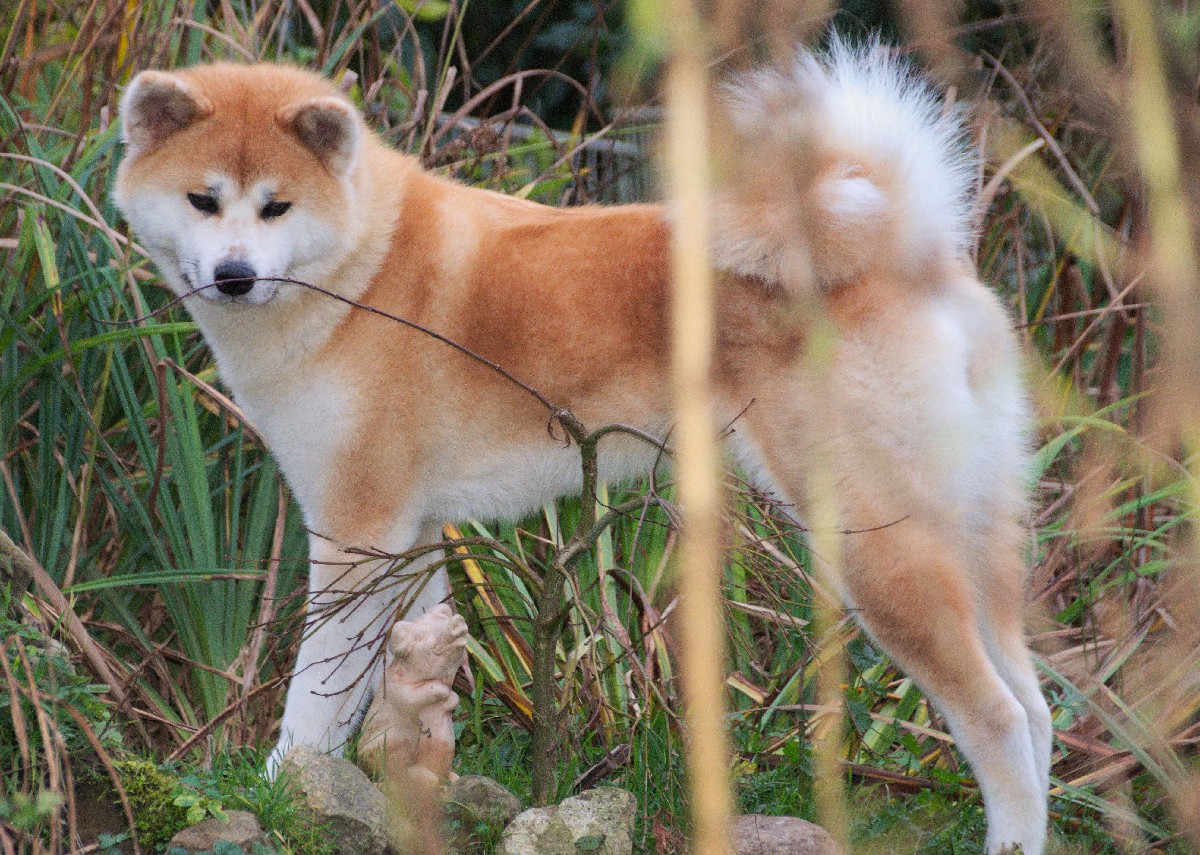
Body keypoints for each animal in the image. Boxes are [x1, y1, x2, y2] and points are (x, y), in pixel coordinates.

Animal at [114, 40, 1051, 854]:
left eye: (277, 206)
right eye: (203, 200)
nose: (235, 275)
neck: (362, 273)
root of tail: (907, 250)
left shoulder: (354, 529)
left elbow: (315, 694)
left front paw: (279, 786)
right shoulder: (408, 539)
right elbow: (402, 687)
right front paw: (399, 781)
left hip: (874, 547)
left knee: (999, 719)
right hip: (977, 539)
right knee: (1036, 709)